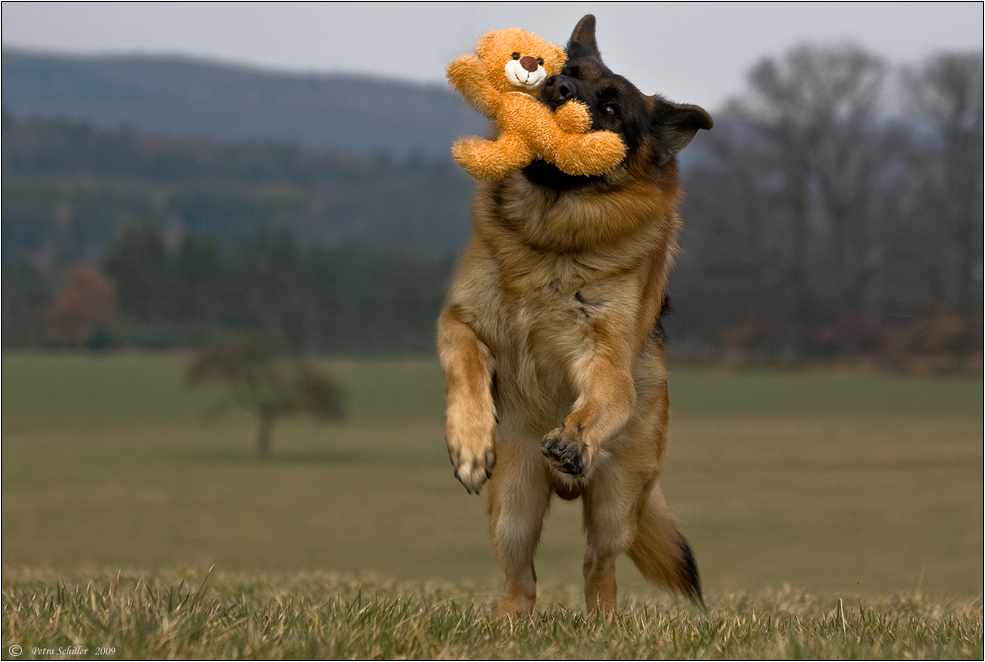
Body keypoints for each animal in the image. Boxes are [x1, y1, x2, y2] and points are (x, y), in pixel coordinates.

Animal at [436, 14, 708, 616]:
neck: (550, 241)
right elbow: (465, 361)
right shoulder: (460, 322)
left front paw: (574, 435)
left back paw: (601, 621)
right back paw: (509, 625)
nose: (556, 88)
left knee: (598, 567)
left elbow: (607, 393)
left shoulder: (603, 358)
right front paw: (468, 439)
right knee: (521, 580)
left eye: (610, 108)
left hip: (616, 507)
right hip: (513, 509)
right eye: (567, 74)